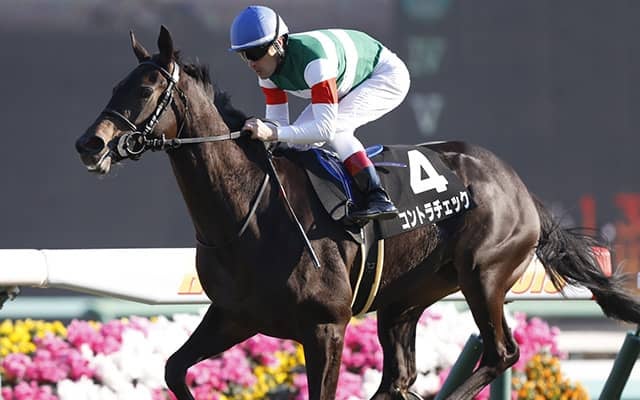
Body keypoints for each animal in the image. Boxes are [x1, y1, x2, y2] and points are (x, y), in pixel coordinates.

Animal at [75, 26, 640, 400]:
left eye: (146, 88)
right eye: (114, 87)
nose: (89, 144)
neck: (249, 215)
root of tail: (520, 188)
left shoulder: (325, 326)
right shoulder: (234, 314)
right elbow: (174, 369)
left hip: (483, 274)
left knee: (501, 353)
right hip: (405, 299)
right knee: (399, 378)